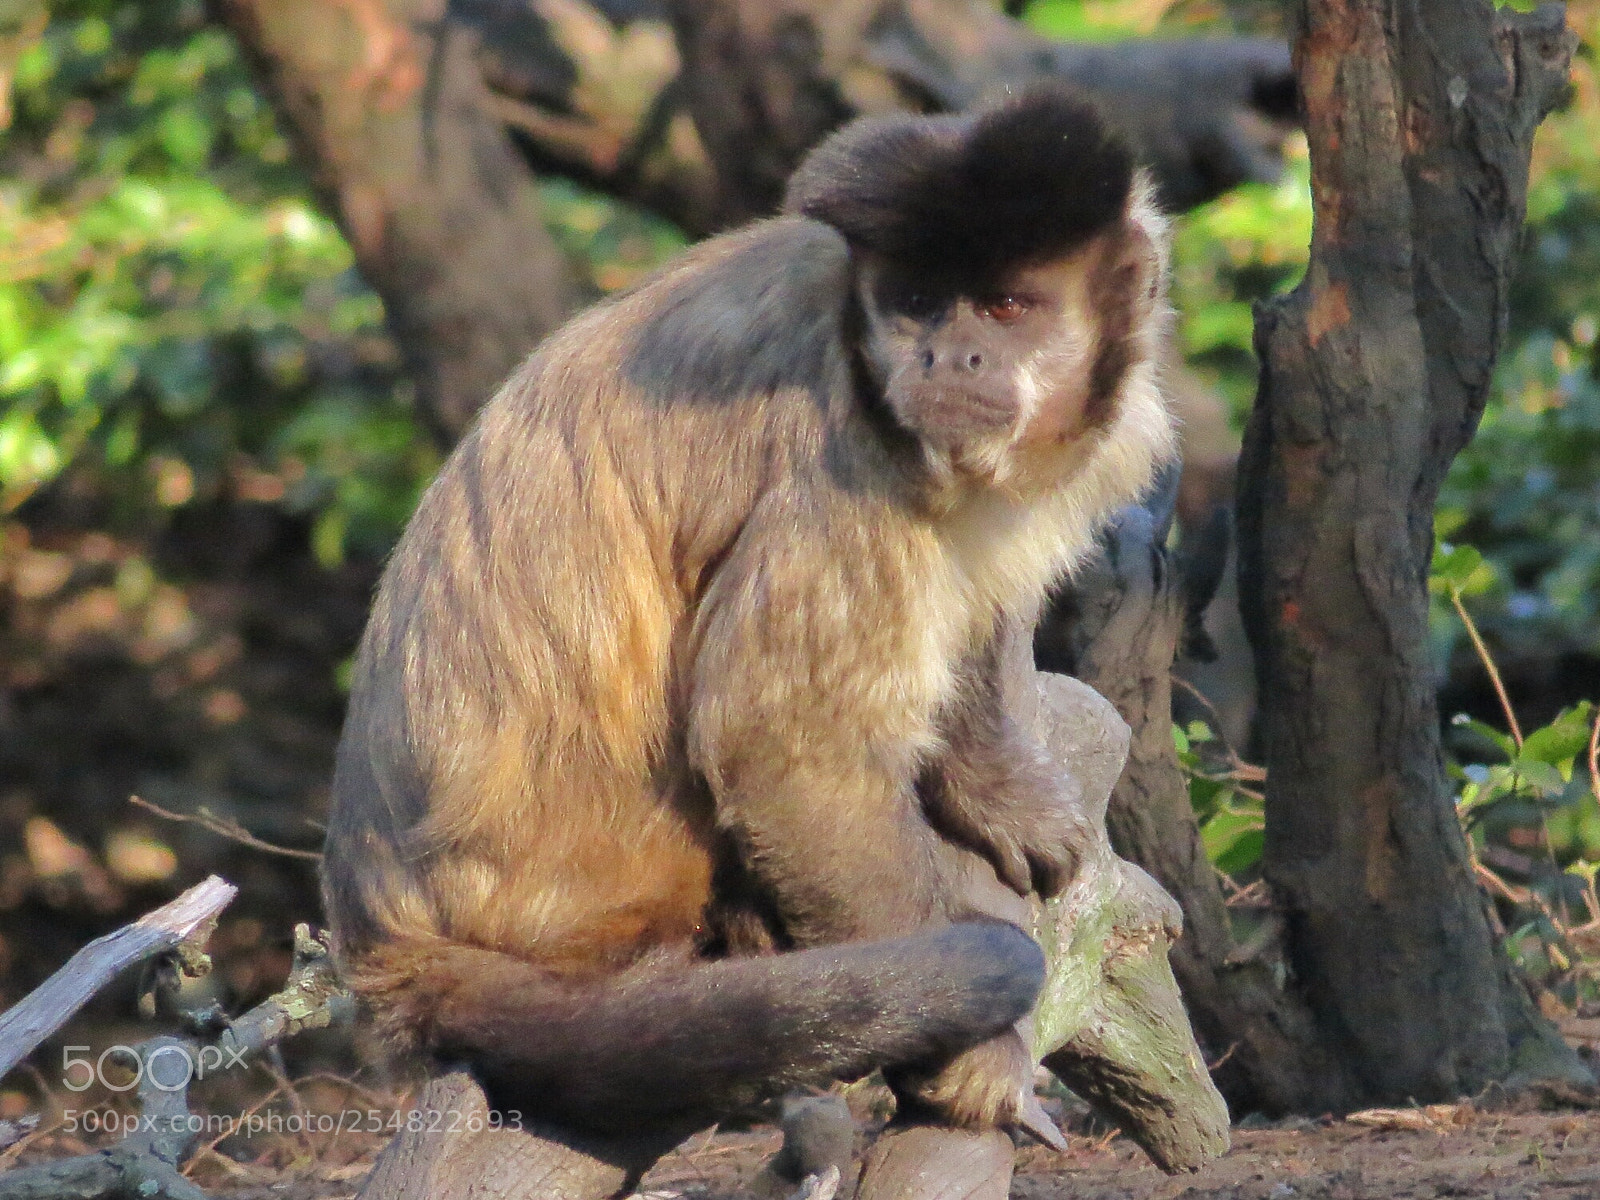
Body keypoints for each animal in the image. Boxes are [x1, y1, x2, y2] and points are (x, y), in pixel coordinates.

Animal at [320, 84, 1175, 1162]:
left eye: (1006, 307)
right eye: (918, 305)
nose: (948, 353)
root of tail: (380, 926)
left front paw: (995, 787)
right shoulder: (848, 452)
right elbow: (787, 753)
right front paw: (971, 1060)